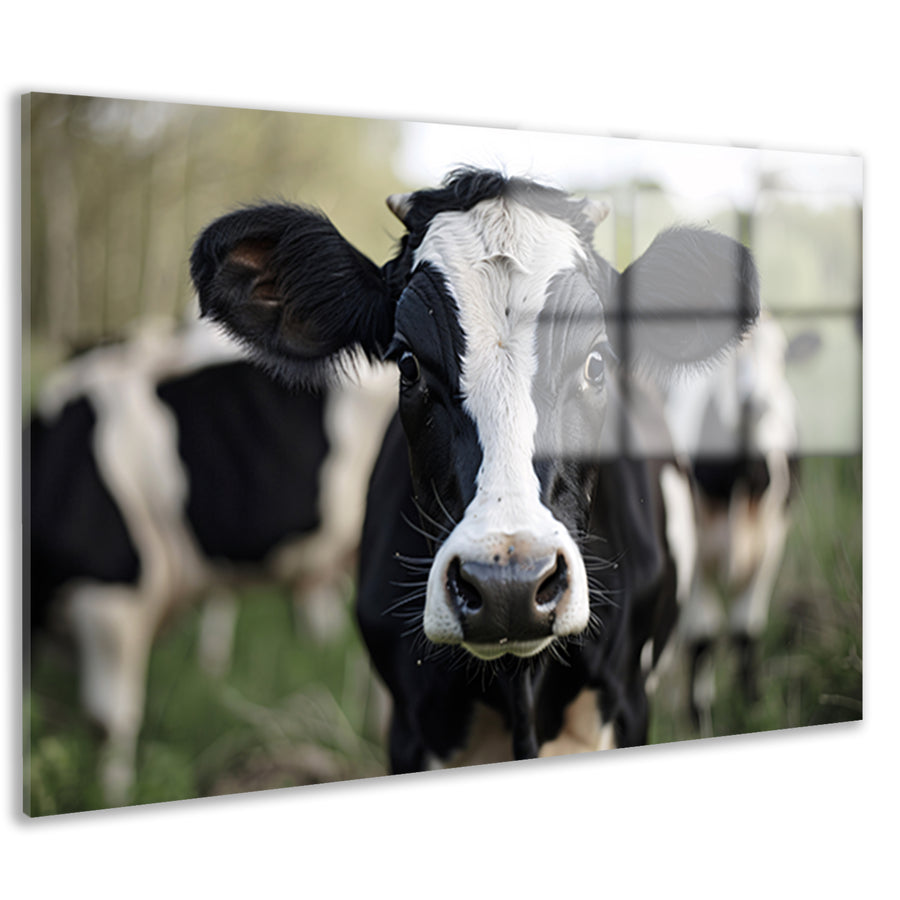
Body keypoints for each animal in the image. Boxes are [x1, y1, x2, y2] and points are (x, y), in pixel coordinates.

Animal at [665, 315, 803, 734]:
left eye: (780, 357)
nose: (754, 399)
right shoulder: (694, 554)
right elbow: (703, 637)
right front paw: (698, 716)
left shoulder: (772, 543)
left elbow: (746, 631)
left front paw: (753, 706)